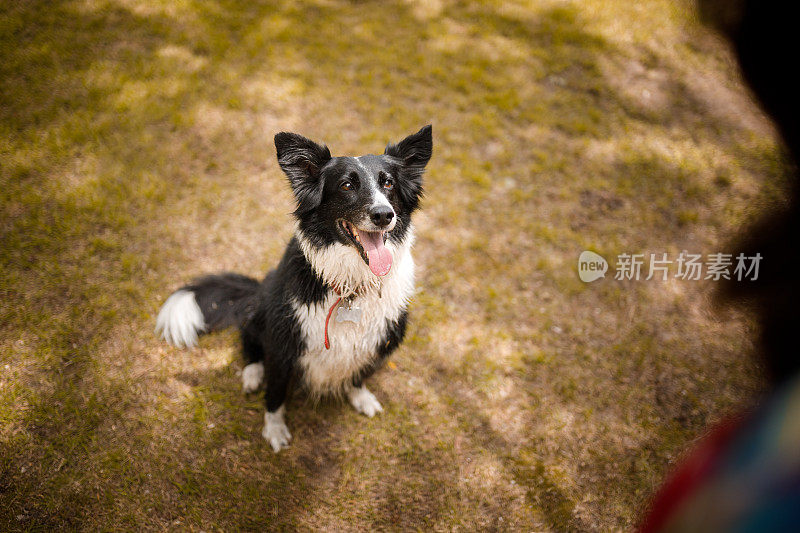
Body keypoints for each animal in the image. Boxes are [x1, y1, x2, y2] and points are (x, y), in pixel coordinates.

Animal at [154, 124, 434, 448]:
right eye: (346, 186)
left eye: (388, 183)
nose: (384, 215)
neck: (351, 284)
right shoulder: (283, 339)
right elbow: (275, 392)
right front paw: (274, 430)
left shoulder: (381, 335)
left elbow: (358, 373)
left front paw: (360, 396)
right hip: (263, 305)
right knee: (249, 339)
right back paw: (252, 373)